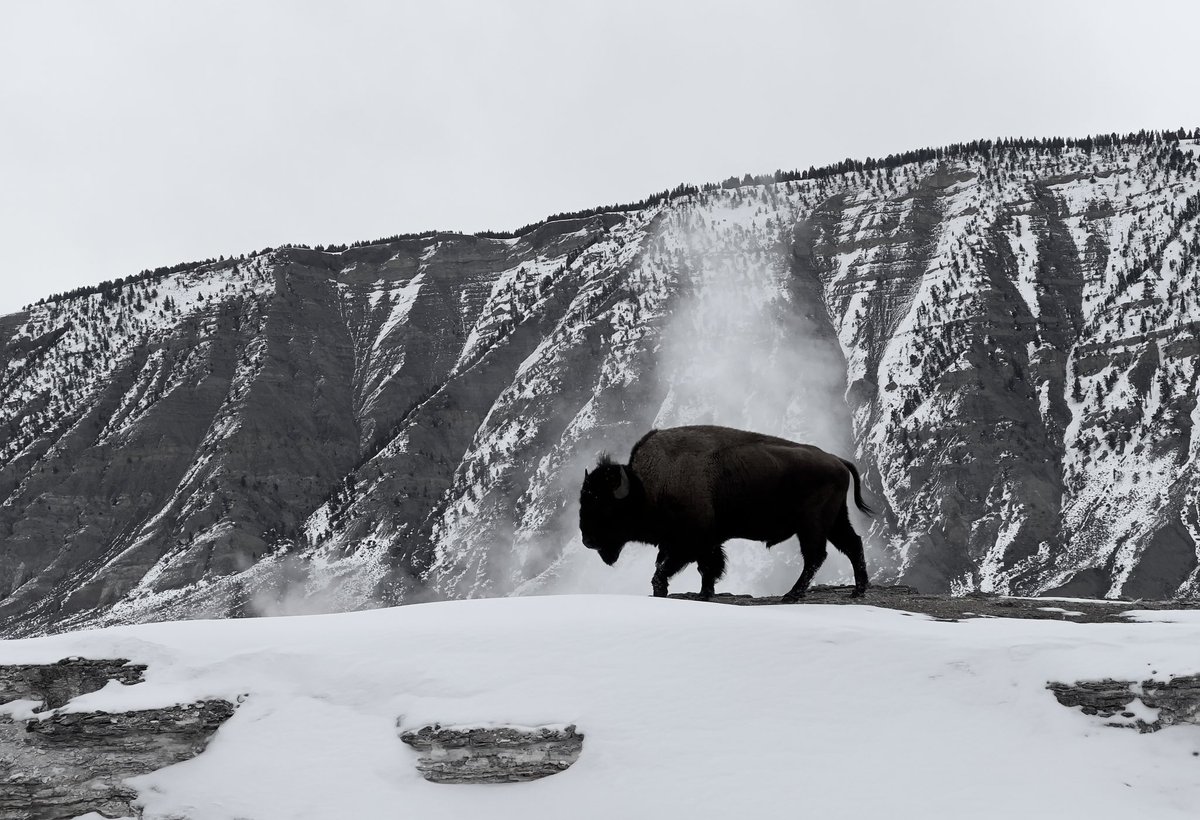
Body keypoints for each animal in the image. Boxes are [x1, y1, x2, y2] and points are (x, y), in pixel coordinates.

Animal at [579, 425, 872, 600]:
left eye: (602, 504)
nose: (587, 540)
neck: (644, 486)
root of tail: (837, 460)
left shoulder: (689, 543)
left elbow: (670, 569)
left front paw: (668, 592)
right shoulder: (700, 543)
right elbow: (705, 568)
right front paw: (704, 593)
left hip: (811, 525)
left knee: (815, 556)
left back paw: (792, 595)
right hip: (835, 521)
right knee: (852, 545)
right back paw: (858, 591)